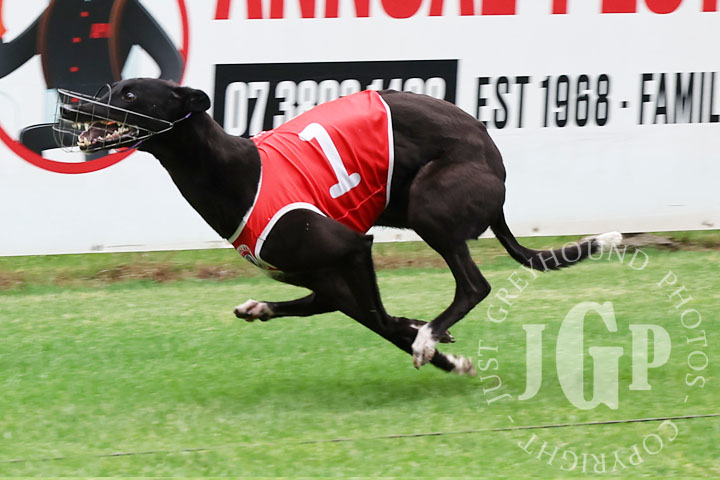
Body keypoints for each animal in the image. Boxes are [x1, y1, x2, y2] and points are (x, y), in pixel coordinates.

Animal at [58, 78, 622, 375]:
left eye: (132, 95)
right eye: (111, 87)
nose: (76, 104)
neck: (238, 169)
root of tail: (493, 157)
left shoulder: (354, 247)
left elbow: (383, 324)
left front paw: (436, 350)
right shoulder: (327, 274)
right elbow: (368, 317)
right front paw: (428, 337)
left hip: (429, 206)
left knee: (473, 284)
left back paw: (430, 333)